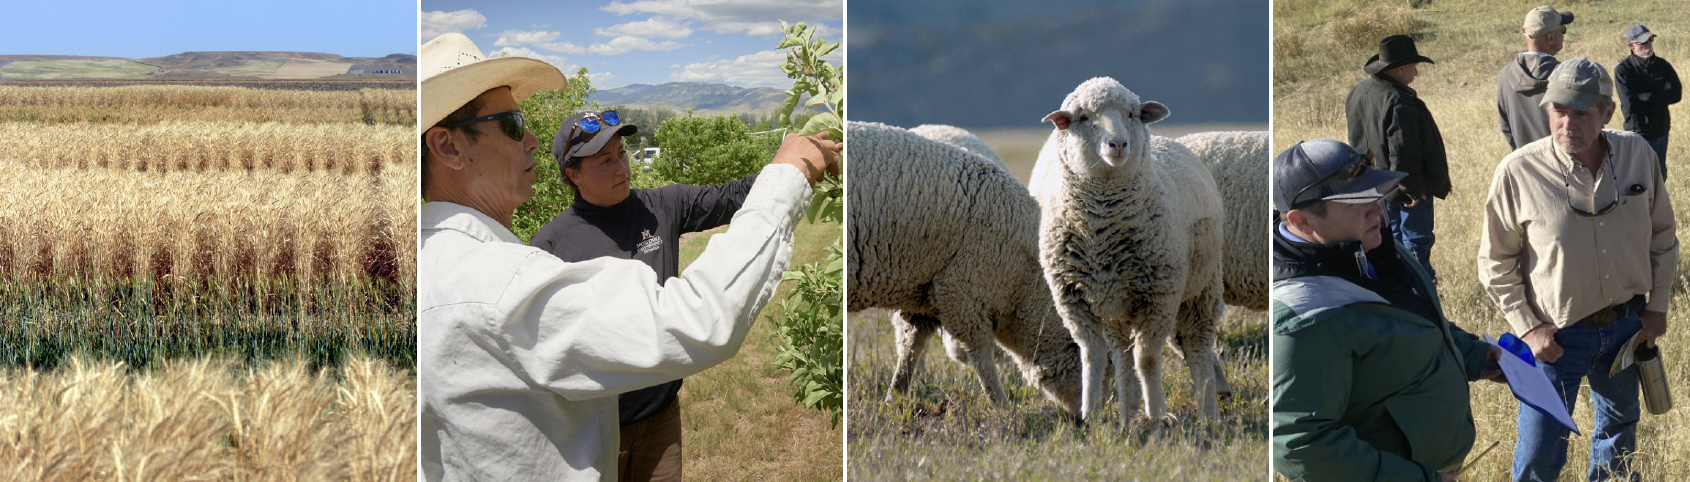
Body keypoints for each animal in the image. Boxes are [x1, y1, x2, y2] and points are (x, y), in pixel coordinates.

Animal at [845, 119, 1081, 412]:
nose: (1086, 415)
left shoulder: (926, 294)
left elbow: (912, 346)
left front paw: (895, 395)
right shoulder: (963, 291)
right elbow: (980, 354)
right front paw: (1001, 405)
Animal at [1020, 76, 1223, 419]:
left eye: (1131, 114)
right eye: (1083, 117)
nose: (1117, 144)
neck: (1102, 232)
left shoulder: (1159, 296)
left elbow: (1148, 359)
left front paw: (1157, 416)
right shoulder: (1074, 300)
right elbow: (1093, 357)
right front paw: (1091, 415)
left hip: (1202, 289)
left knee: (1197, 347)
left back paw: (1209, 414)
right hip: (1116, 303)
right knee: (1122, 354)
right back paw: (1127, 414)